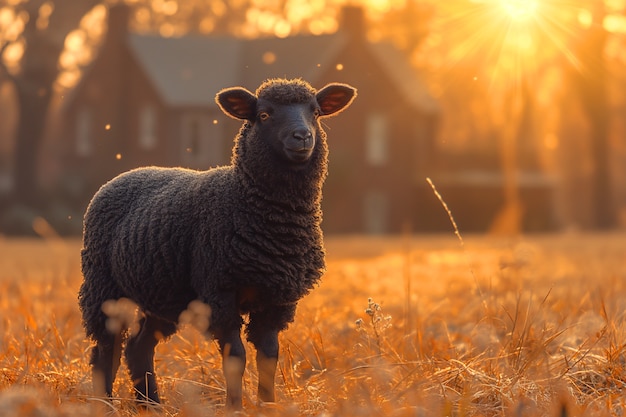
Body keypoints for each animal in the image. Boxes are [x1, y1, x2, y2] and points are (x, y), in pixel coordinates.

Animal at [77, 77, 356, 406]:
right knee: (105, 351)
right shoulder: (219, 292)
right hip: (103, 286)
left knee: (138, 346)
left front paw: (268, 406)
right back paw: (105, 405)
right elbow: (235, 358)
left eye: (315, 112)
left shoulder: (277, 299)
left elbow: (268, 356)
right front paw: (235, 407)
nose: (302, 136)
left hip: (162, 293)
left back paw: (151, 405)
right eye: (264, 114)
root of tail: (123, 176)